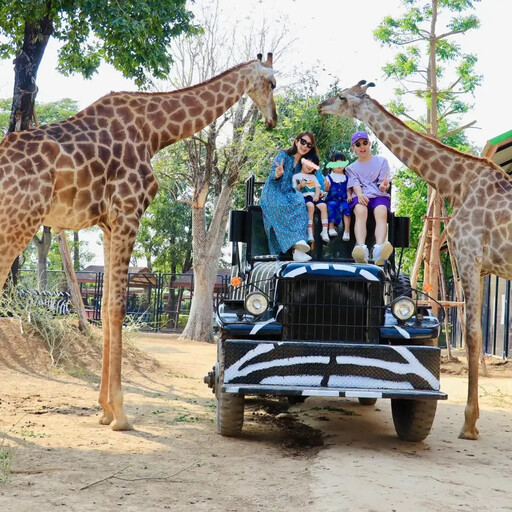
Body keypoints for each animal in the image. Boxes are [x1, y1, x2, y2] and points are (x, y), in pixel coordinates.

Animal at [0, 52, 278, 430]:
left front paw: (104, 410)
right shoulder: (128, 213)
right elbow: (117, 308)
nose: (273, 120)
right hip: (21, 216)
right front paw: (120, 414)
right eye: (272, 83)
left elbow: (105, 307)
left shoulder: (107, 224)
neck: (155, 130)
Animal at [318, 81, 510, 440]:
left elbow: (473, 336)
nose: (321, 106)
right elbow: (474, 334)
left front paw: (469, 425)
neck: (456, 184)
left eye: (342, 97)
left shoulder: (468, 255)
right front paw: (472, 421)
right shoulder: (480, 266)